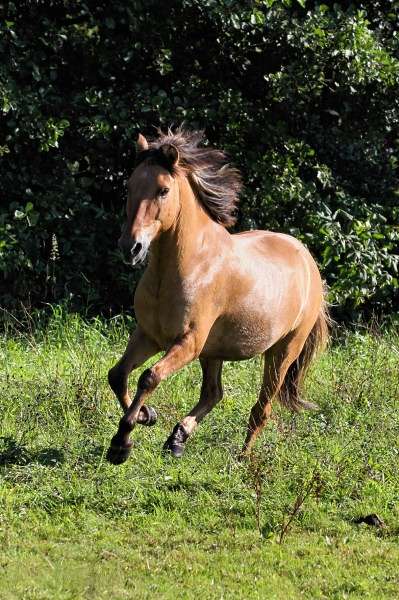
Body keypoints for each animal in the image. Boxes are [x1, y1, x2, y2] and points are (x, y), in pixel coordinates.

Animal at [105, 126, 328, 464]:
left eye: (162, 190)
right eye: (129, 186)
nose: (131, 247)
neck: (188, 265)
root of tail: (307, 260)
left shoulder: (188, 342)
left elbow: (149, 377)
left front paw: (121, 443)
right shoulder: (149, 336)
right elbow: (118, 375)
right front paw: (147, 415)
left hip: (283, 351)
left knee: (261, 408)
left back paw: (242, 458)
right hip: (214, 352)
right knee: (213, 393)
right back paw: (177, 439)